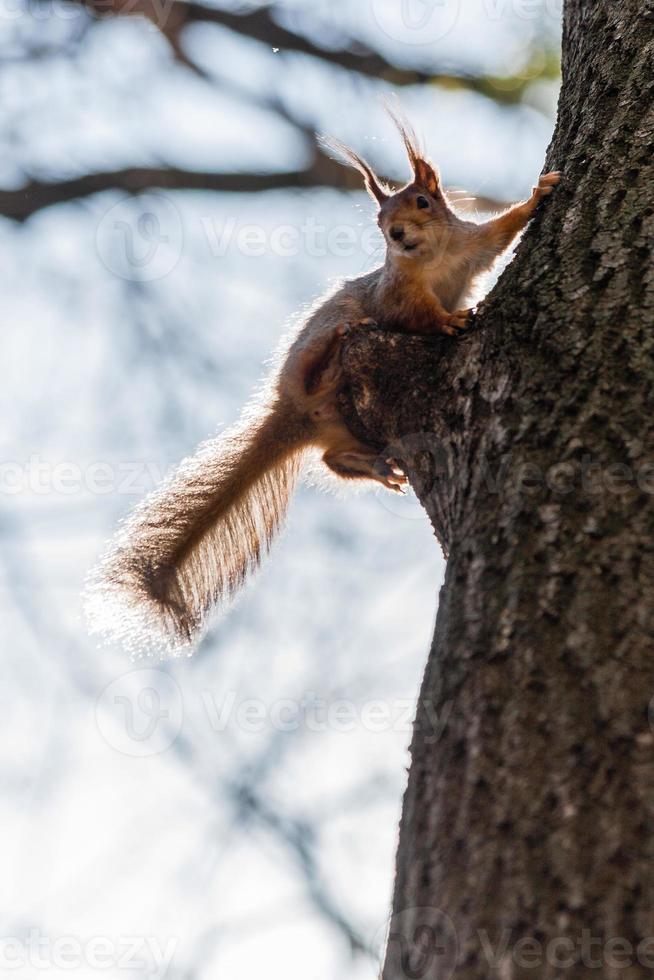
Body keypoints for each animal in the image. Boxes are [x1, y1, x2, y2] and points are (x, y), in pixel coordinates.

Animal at [84, 111, 560, 656]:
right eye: (379, 221)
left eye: (422, 201)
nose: (397, 233)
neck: (431, 258)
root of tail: (295, 412)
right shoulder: (396, 296)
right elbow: (415, 316)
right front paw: (449, 321)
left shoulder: (472, 248)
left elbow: (501, 232)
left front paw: (539, 194)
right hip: (313, 358)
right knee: (323, 373)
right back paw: (334, 356)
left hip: (349, 425)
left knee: (333, 460)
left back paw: (375, 465)